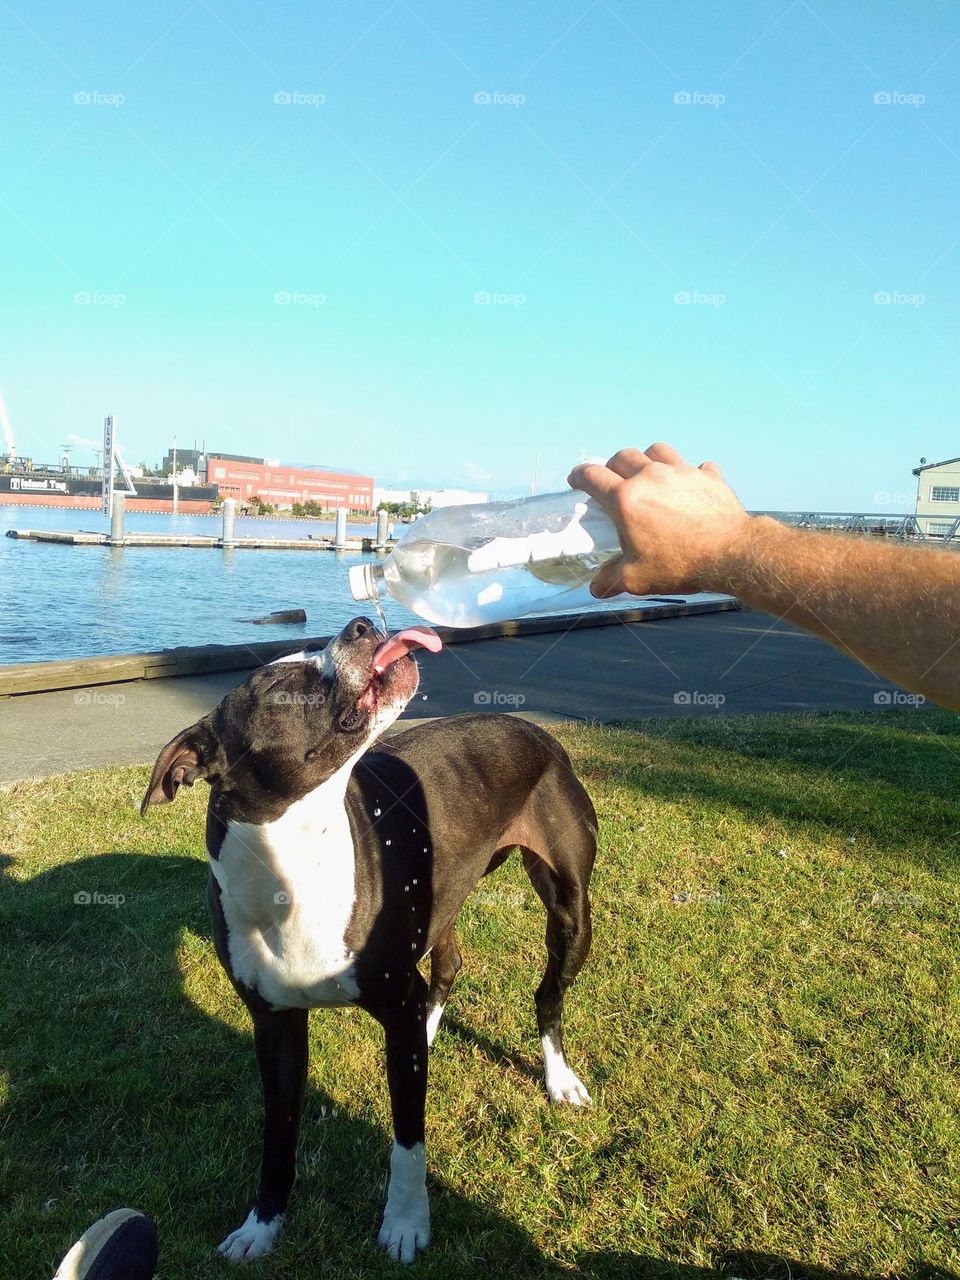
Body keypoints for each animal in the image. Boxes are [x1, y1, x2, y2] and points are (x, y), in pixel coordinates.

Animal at [142, 616, 599, 1259]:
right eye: (280, 682)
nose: (359, 624)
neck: (298, 866)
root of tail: (529, 726)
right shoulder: (275, 1030)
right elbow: (278, 1137)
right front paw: (262, 1224)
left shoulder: (391, 1003)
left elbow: (408, 1138)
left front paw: (406, 1222)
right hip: (444, 897)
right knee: (448, 966)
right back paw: (430, 1032)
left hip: (570, 910)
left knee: (547, 995)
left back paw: (558, 1078)